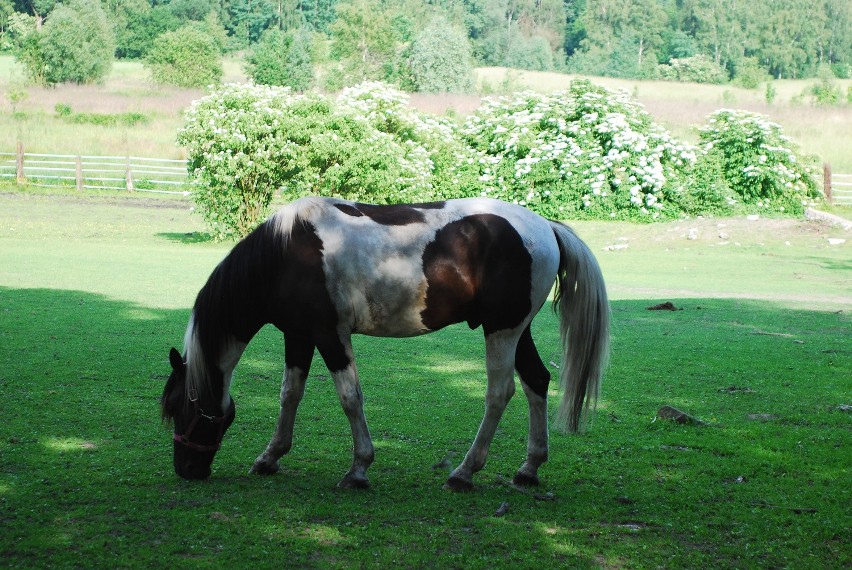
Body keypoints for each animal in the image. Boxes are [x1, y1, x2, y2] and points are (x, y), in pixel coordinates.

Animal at [160, 195, 608, 488]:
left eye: (183, 408)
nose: (186, 469)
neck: (285, 255)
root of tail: (545, 226)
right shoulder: (299, 335)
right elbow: (290, 393)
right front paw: (270, 457)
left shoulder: (330, 335)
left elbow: (349, 398)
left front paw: (359, 469)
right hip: (516, 330)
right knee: (536, 382)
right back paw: (529, 469)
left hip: (502, 331)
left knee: (500, 393)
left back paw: (465, 472)